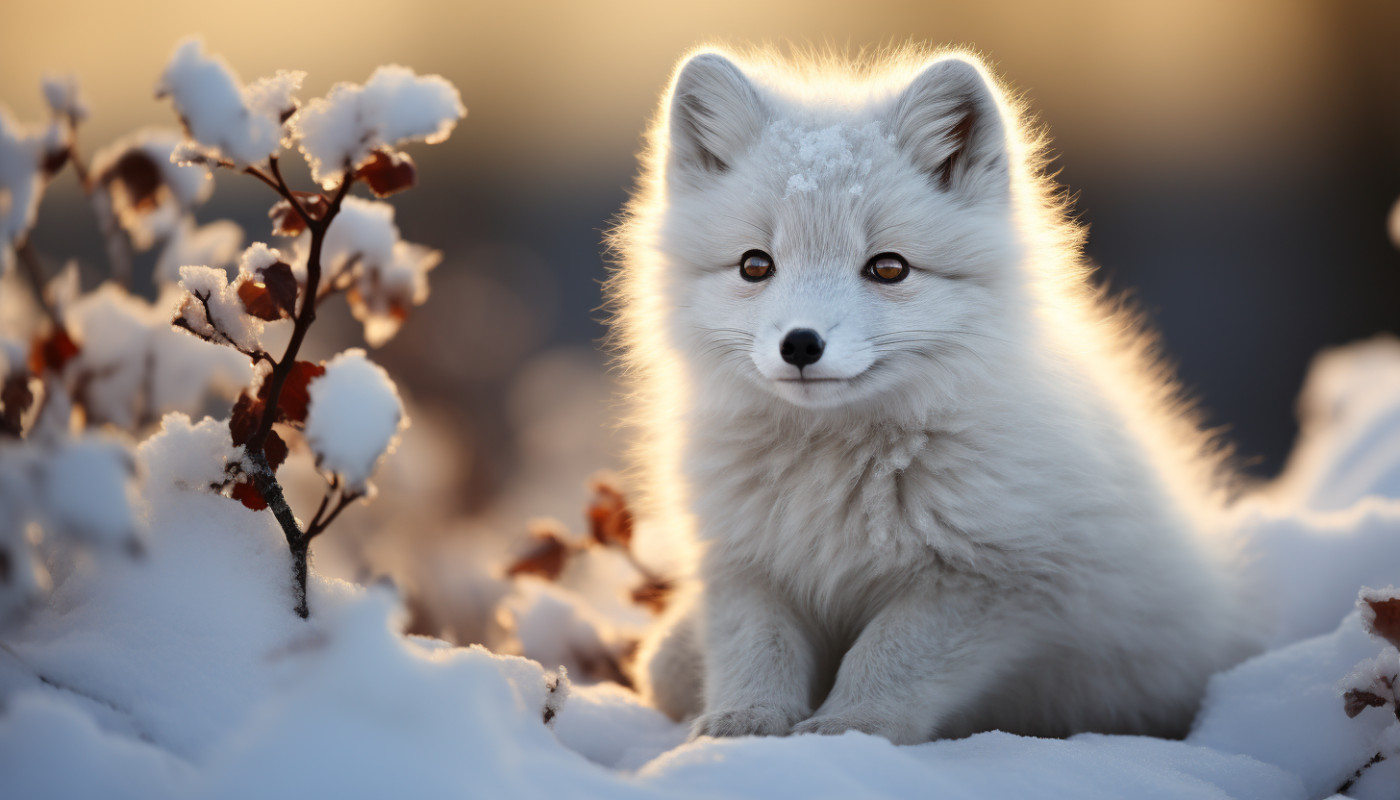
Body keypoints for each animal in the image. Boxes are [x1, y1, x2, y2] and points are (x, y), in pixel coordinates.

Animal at [607, 46, 1263, 745]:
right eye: (755, 265)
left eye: (889, 268)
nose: (801, 344)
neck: (835, 473)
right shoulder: (743, 565)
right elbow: (754, 650)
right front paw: (746, 727)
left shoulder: (989, 581)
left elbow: (884, 658)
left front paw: (849, 731)